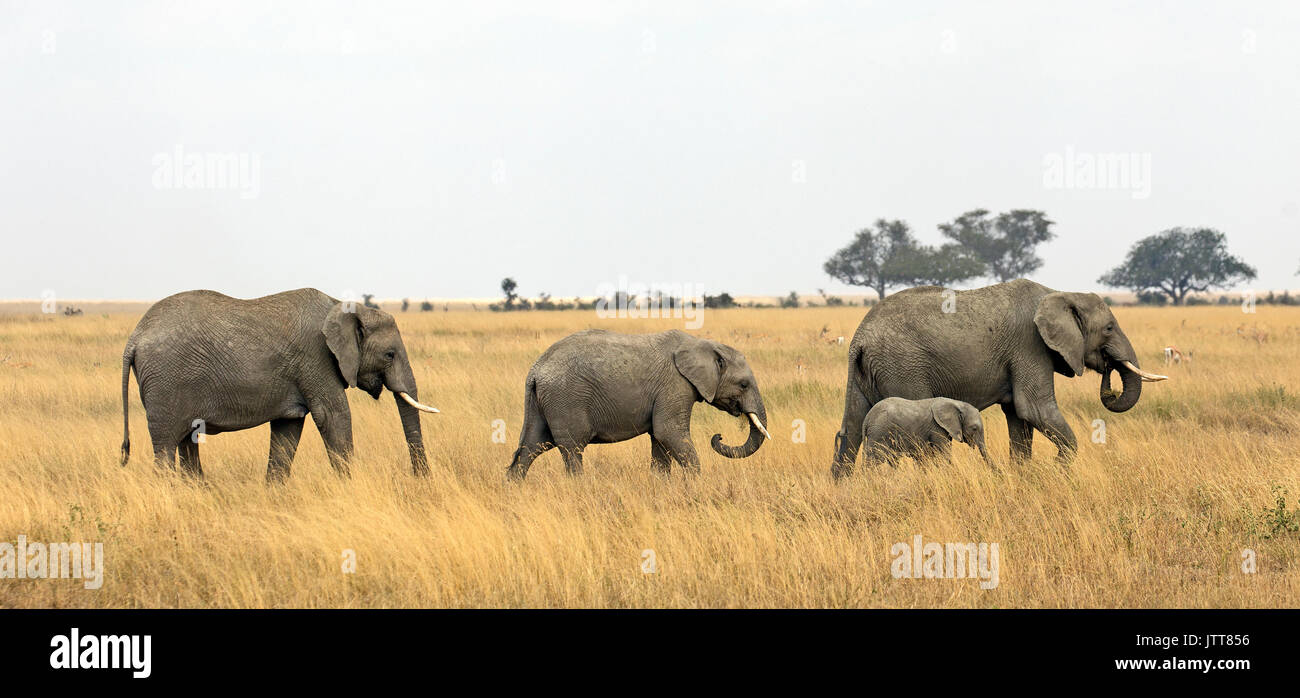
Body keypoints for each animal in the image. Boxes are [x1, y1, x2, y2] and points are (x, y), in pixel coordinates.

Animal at [119, 288, 439, 478]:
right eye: (389, 354)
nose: (420, 481)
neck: (345, 307)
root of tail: (134, 338)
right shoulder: (316, 359)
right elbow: (333, 416)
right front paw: (350, 488)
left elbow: (288, 431)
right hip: (165, 384)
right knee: (166, 447)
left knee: (188, 443)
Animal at [504, 327, 769, 478]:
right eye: (744, 385)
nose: (719, 436)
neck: (702, 343)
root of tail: (536, 370)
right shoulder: (675, 385)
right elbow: (668, 432)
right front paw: (693, 485)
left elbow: (660, 441)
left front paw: (660, 486)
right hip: (565, 398)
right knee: (572, 450)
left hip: (543, 401)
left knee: (531, 446)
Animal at [837, 395, 987, 475]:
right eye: (974, 428)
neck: (957, 404)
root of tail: (867, 418)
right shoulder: (936, 428)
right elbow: (943, 453)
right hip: (879, 433)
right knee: (874, 460)